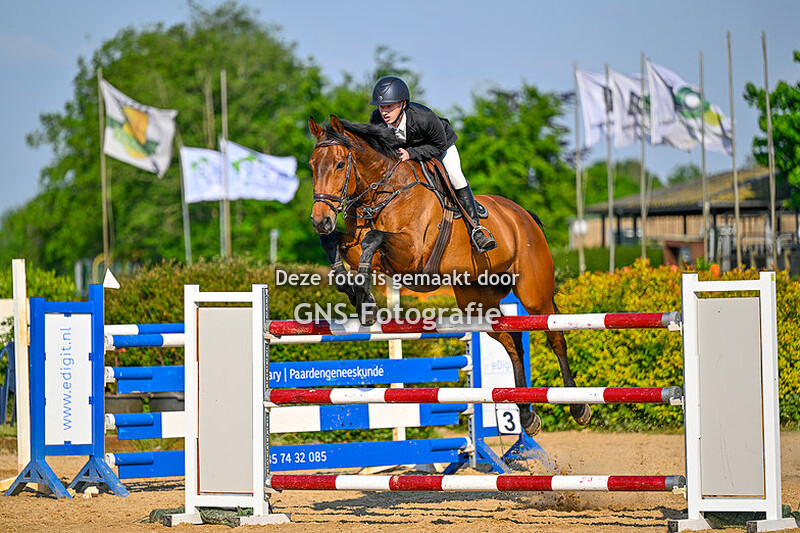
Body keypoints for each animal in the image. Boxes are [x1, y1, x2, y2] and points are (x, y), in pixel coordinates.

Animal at [307, 115, 591, 436]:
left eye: (340, 164)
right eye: (312, 165)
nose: (320, 220)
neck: (384, 193)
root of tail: (523, 215)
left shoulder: (412, 254)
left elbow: (373, 239)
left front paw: (366, 300)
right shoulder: (358, 246)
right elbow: (335, 243)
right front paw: (351, 289)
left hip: (534, 295)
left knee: (555, 336)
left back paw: (579, 407)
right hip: (477, 303)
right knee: (512, 341)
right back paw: (526, 415)